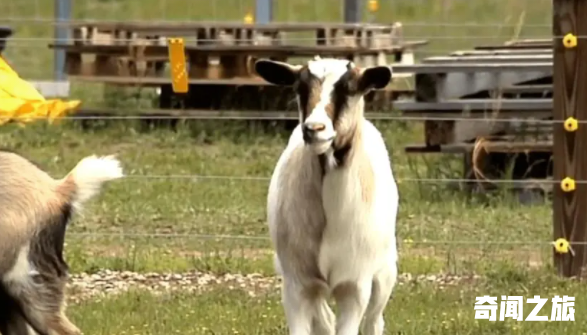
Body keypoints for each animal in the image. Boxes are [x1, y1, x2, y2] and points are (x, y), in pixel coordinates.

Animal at [256, 57, 400, 335]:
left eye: (351, 89)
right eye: (299, 88)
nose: (314, 129)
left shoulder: (355, 287)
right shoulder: (297, 285)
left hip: (385, 272)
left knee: (374, 321)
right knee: (324, 320)